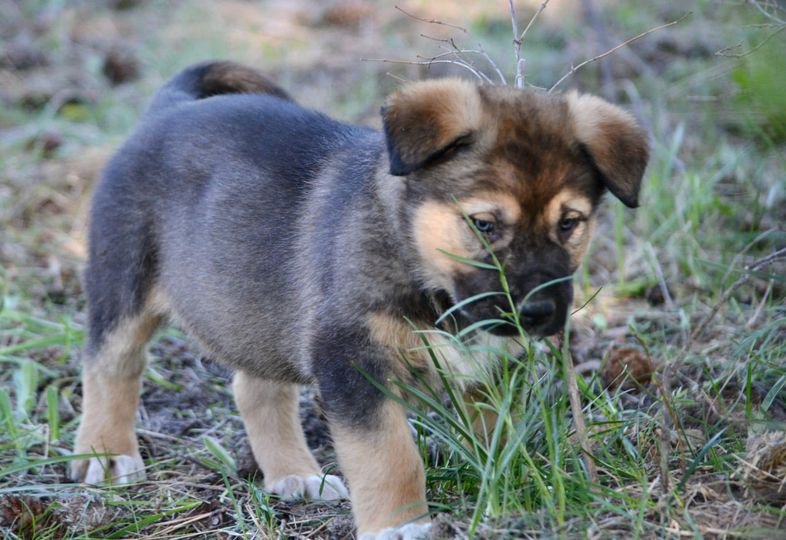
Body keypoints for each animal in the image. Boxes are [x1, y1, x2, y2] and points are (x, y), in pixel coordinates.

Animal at [70, 61, 648, 536]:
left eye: (570, 224)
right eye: (484, 225)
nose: (538, 314)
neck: (420, 266)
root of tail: (168, 107)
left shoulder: (488, 365)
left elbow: (496, 430)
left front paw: (506, 485)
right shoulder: (352, 360)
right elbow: (389, 455)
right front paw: (400, 525)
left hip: (259, 308)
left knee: (254, 388)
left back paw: (295, 475)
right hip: (124, 279)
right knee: (110, 364)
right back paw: (107, 455)